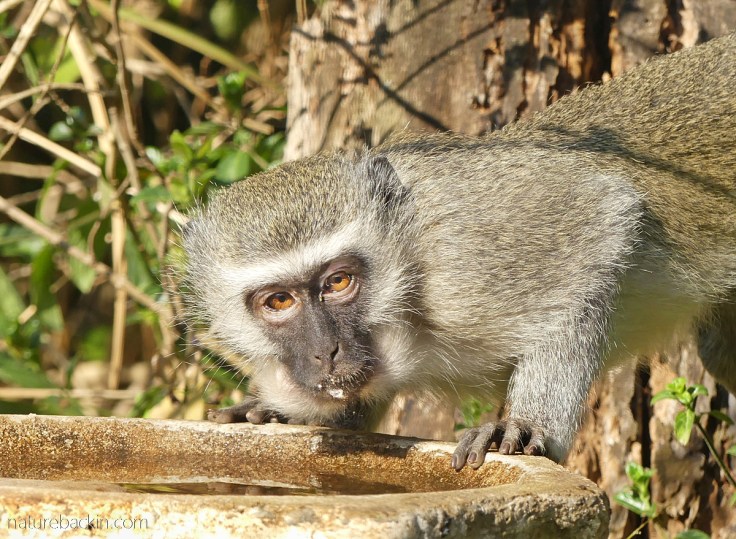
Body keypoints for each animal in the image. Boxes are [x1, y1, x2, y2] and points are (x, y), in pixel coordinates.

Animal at [182, 32, 736, 470]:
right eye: (278, 301)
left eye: (338, 281)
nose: (326, 351)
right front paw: (280, 413)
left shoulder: (472, 254)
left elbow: (604, 218)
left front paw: (524, 423)